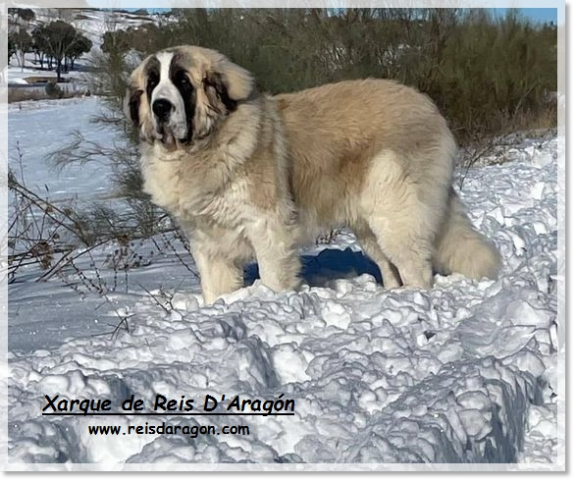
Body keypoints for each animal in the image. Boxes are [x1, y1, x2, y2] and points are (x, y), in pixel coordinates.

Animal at [125, 44, 500, 302]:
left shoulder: (267, 227)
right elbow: (215, 288)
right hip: (368, 225)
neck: (202, 148)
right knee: (389, 264)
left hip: (396, 213)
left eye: (183, 82)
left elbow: (273, 276)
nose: (161, 106)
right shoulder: (208, 242)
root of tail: (427, 104)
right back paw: (389, 296)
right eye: (152, 83)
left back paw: (410, 301)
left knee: (415, 266)